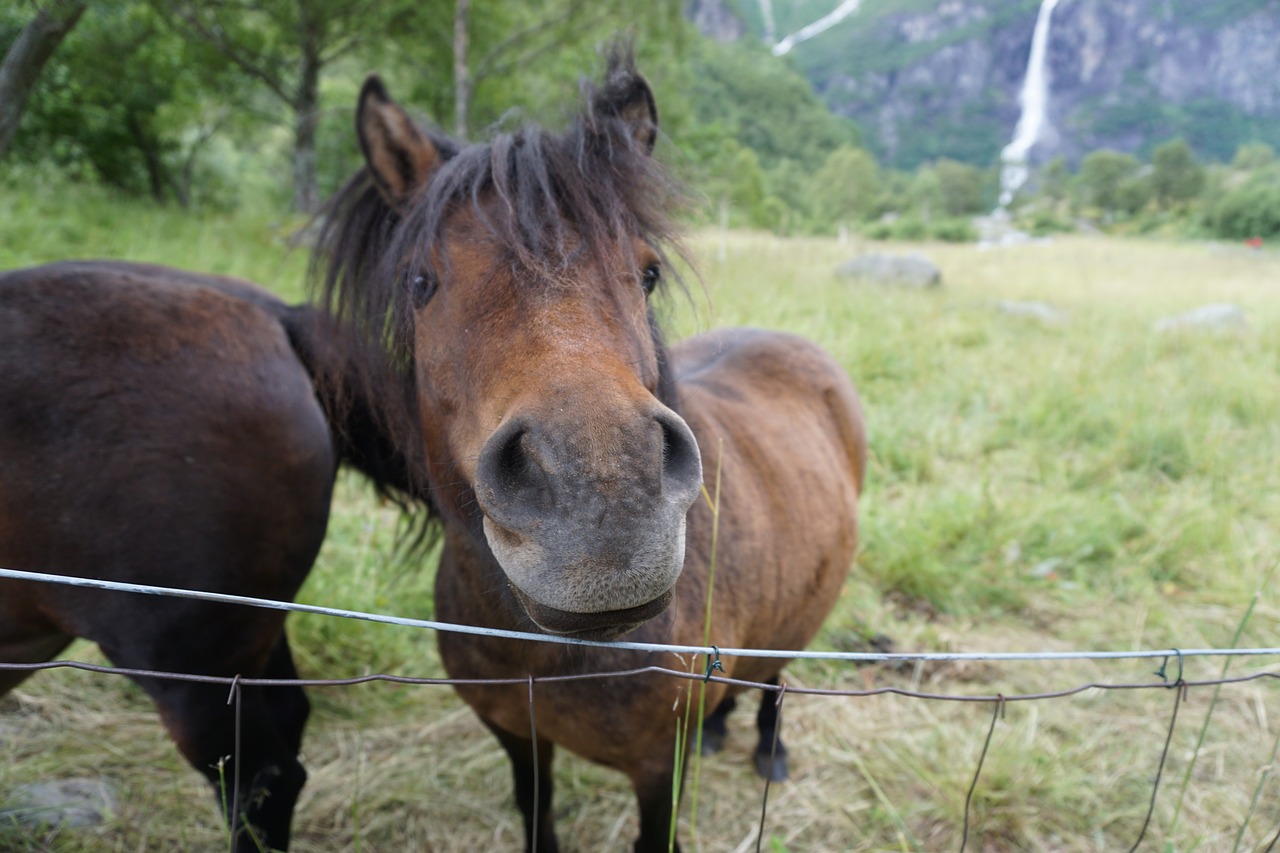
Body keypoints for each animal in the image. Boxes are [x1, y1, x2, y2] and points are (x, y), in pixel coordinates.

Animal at [314, 48, 865, 850]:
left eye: (648, 273)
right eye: (421, 280)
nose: (603, 499)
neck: (543, 653)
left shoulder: (657, 767)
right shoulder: (517, 734)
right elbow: (536, 809)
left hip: (799, 626)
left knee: (772, 681)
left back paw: (768, 748)